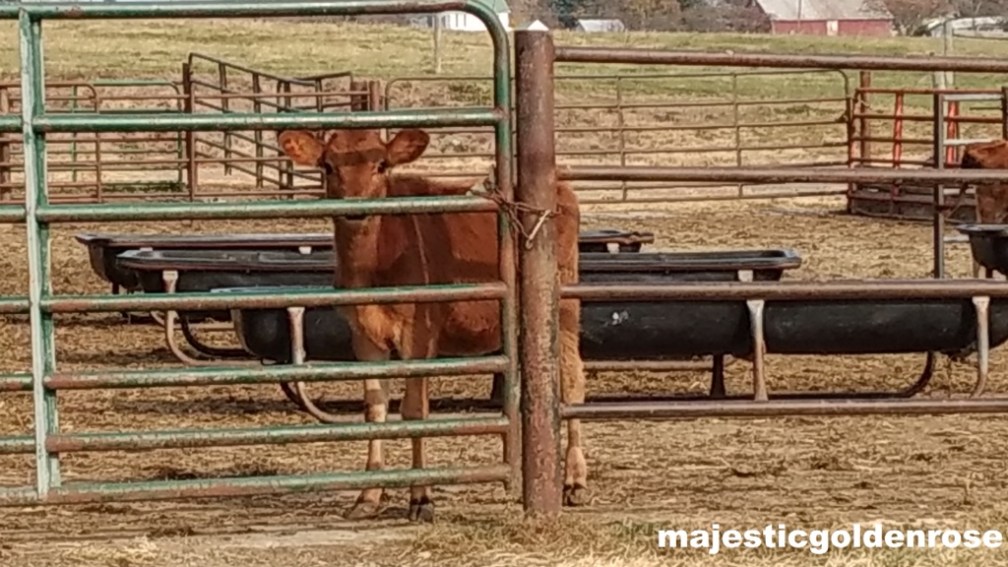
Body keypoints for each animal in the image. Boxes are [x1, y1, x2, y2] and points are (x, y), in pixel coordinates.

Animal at [276, 128, 588, 522]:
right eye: (328, 165)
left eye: (381, 164)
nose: (355, 210)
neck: (375, 260)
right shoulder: (364, 335)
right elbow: (374, 409)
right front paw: (368, 496)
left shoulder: (418, 333)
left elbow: (415, 411)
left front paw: (421, 497)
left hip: (564, 308)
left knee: (572, 382)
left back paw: (574, 481)